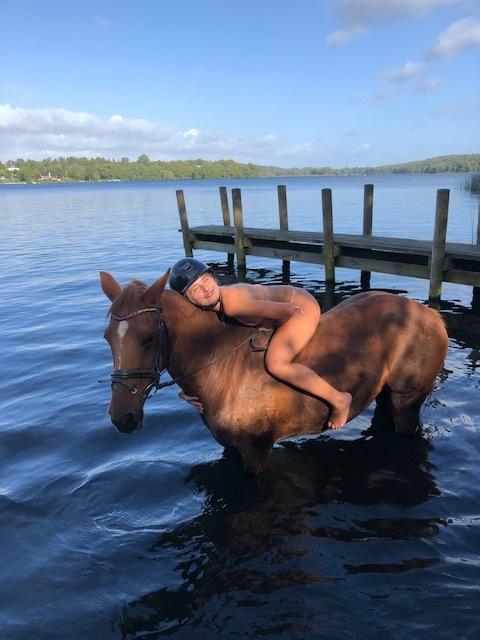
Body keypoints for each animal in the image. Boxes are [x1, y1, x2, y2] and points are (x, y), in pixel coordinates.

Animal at [99, 268, 448, 472]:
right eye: (107, 338)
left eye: (148, 337)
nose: (122, 417)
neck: (221, 364)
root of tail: (428, 313)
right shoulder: (230, 447)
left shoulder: (256, 450)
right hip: (384, 396)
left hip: (406, 401)